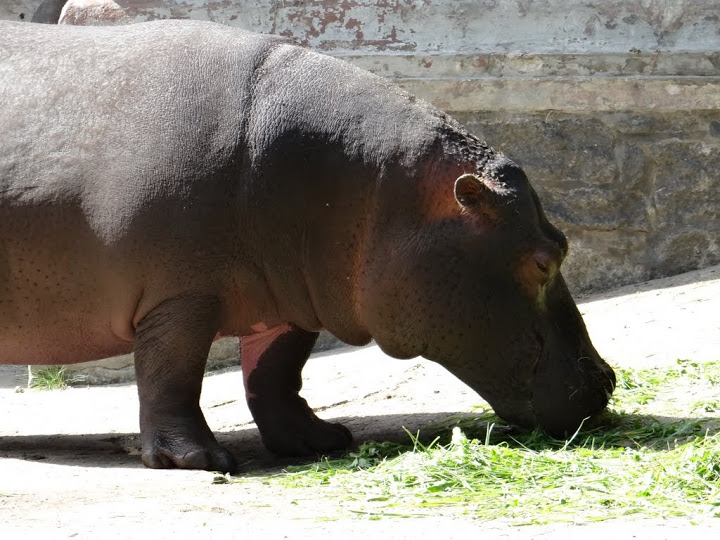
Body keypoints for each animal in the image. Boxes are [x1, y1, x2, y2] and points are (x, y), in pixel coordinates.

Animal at [0, 20, 615, 472]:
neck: (381, 190)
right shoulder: (178, 297)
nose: (607, 379)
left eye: (564, 240)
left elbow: (276, 373)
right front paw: (198, 460)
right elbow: (171, 373)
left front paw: (320, 439)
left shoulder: (289, 298)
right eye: (544, 261)